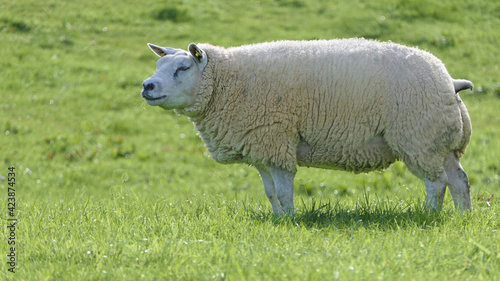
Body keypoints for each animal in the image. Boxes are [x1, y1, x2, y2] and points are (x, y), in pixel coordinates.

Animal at [141, 38, 472, 215]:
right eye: (158, 66)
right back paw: (462, 215)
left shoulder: (277, 140)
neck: (228, 83)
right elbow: (270, 192)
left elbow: (284, 191)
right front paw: (277, 219)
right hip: (439, 142)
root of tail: (449, 80)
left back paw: (428, 214)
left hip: (418, 137)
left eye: (183, 68)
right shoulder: (261, 146)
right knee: (458, 179)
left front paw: (290, 220)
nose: (147, 86)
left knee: (436, 182)